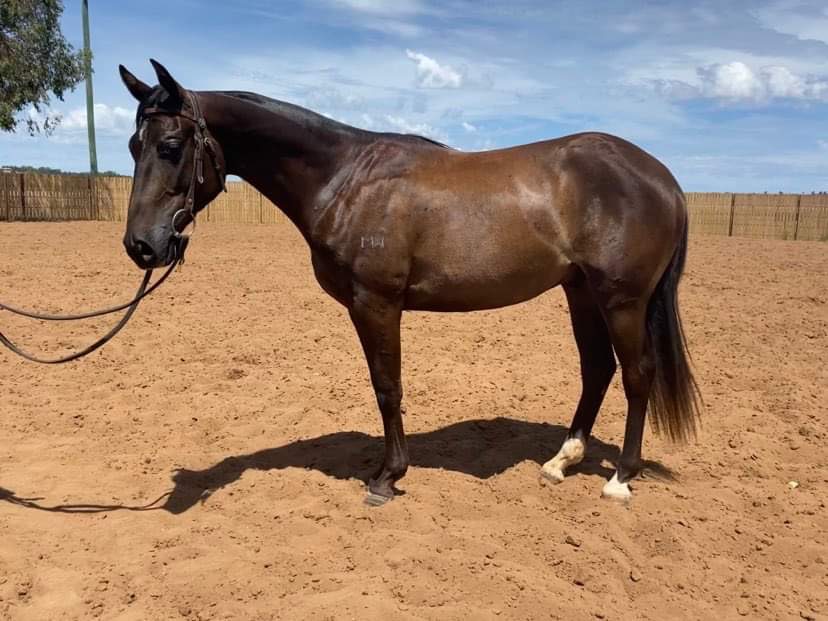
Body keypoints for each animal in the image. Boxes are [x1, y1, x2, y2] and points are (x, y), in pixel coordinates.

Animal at [119, 60, 701, 506]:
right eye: (131, 145)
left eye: (170, 146)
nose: (141, 246)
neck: (344, 177)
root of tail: (662, 178)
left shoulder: (375, 303)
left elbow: (387, 386)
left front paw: (387, 477)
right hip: (580, 292)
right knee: (597, 369)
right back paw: (561, 461)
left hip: (621, 299)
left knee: (637, 375)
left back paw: (621, 478)